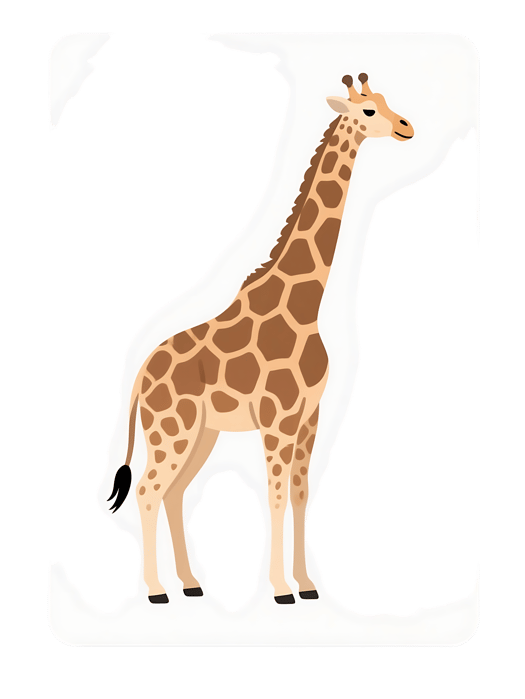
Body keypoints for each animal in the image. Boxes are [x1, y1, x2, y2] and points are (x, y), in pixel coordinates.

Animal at [108, 73, 414, 605]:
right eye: (369, 111)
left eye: (386, 101)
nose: (406, 127)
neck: (307, 305)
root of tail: (139, 376)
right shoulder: (277, 418)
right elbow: (272, 496)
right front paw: (280, 590)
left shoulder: (309, 416)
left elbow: (300, 493)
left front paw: (307, 586)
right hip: (171, 429)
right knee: (148, 490)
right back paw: (156, 592)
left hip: (201, 432)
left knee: (174, 492)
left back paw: (190, 585)